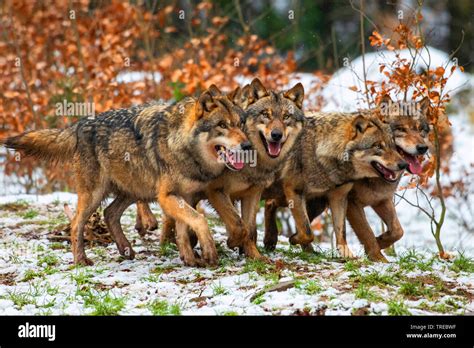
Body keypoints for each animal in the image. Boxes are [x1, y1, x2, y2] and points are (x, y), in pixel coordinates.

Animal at [2, 87, 248, 266]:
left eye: (240, 124)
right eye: (222, 125)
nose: (246, 145)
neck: (181, 144)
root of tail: (79, 125)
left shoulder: (184, 196)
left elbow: (183, 230)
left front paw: (189, 259)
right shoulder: (166, 197)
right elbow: (200, 220)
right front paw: (209, 254)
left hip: (132, 190)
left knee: (110, 213)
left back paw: (126, 250)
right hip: (95, 195)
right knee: (76, 224)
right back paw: (81, 260)